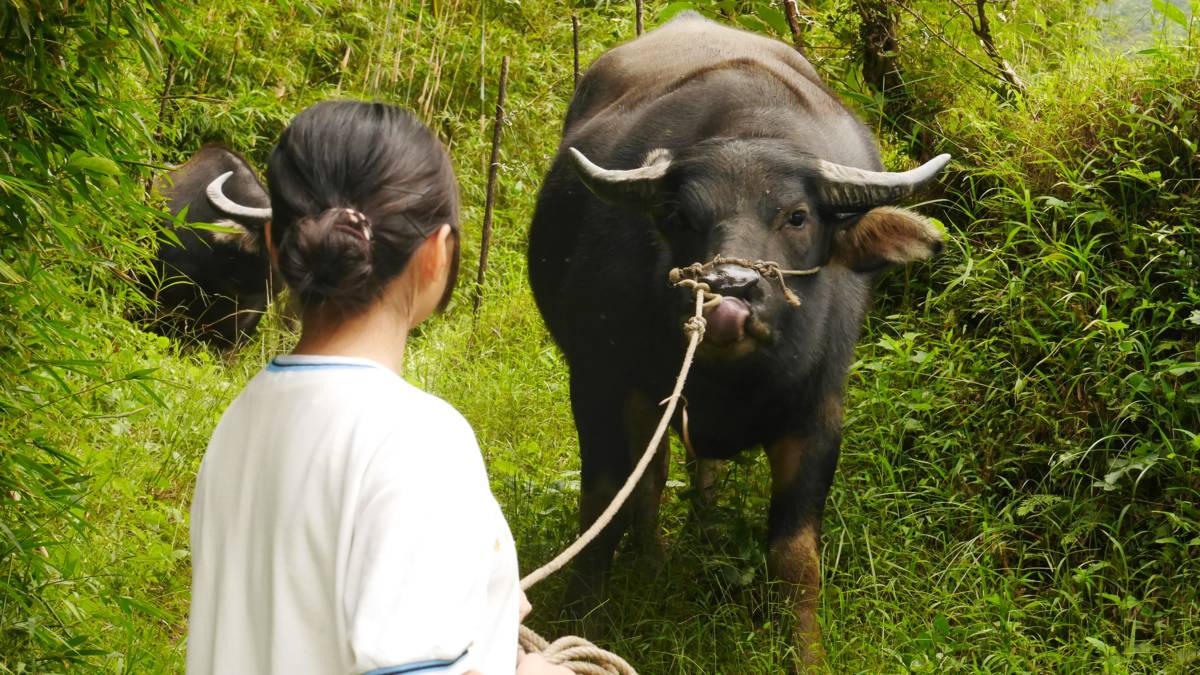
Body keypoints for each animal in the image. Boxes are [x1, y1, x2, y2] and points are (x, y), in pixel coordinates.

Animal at [530, 14, 950, 658]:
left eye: (797, 216)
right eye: (679, 217)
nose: (729, 293)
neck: (733, 384)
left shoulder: (818, 413)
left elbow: (795, 556)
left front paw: (807, 654)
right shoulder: (600, 386)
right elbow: (602, 511)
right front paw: (582, 623)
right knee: (650, 482)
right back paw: (654, 563)